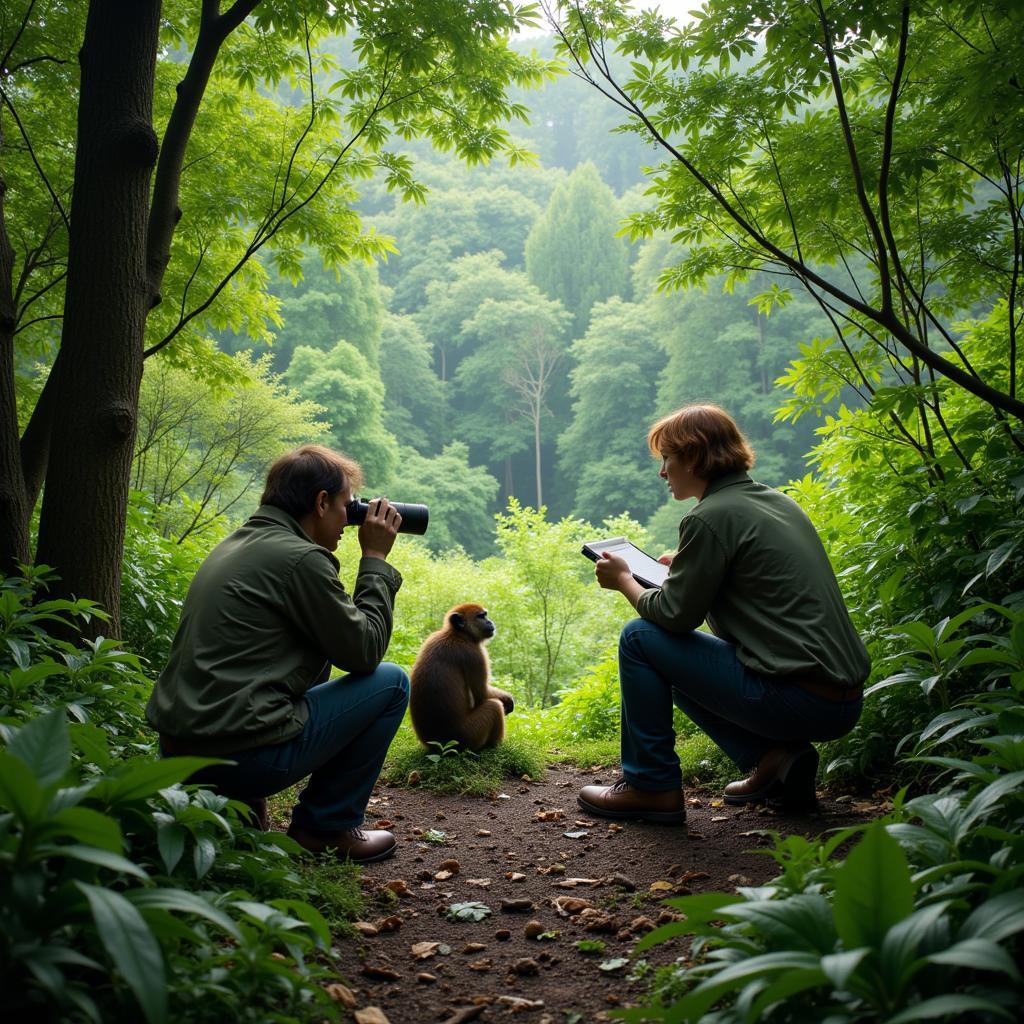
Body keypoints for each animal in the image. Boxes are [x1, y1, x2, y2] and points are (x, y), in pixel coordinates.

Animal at [409, 598, 516, 753]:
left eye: (485, 615)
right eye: (481, 616)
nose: (490, 622)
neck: (457, 634)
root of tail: (439, 745)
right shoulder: (474, 654)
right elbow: (482, 694)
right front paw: (507, 699)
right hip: (469, 736)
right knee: (494, 706)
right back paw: (495, 745)